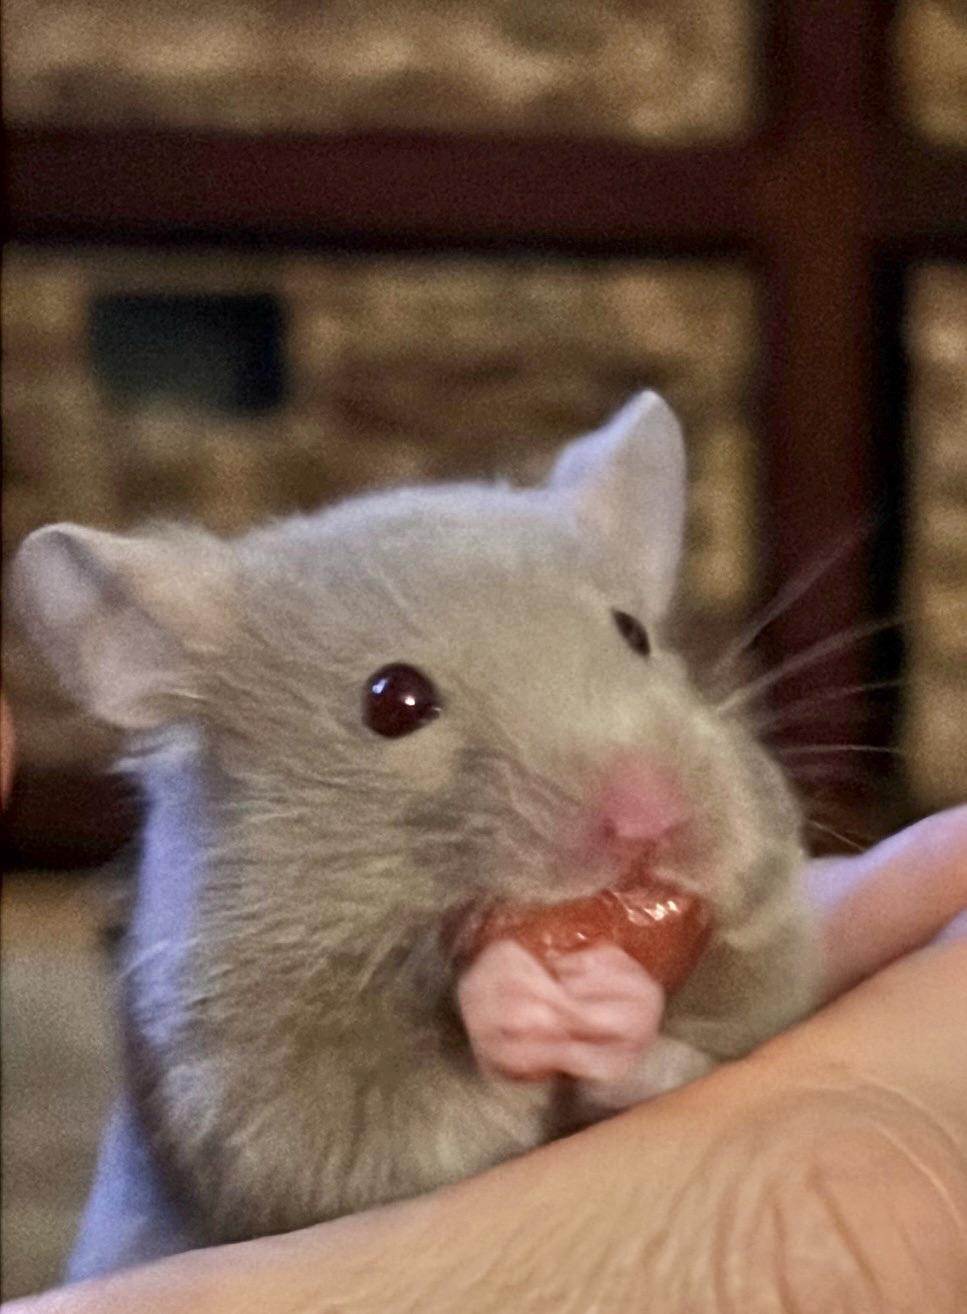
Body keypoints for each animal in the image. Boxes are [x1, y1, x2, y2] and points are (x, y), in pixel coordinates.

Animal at [11, 391, 822, 1281]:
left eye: (633, 634)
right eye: (391, 700)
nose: (651, 818)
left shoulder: (774, 977)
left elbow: (720, 1033)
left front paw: (612, 1002)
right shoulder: (235, 1095)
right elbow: (373, 1128)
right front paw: (513, 1000)